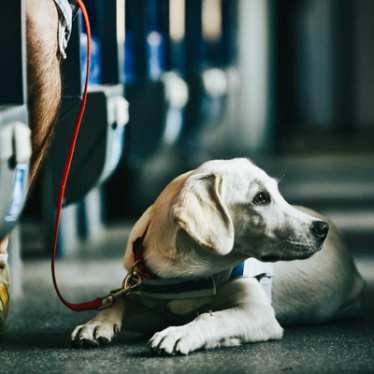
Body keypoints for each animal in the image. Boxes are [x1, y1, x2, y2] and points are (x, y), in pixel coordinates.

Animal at [71, 157, 364, 354]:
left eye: (276, 193)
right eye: (261, 197)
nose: (321, 229)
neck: (191, 271)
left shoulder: (258, 312)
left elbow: (215, 316)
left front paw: (182, 333)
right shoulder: (151, 303)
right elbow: (118, 299)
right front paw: (96, 324)